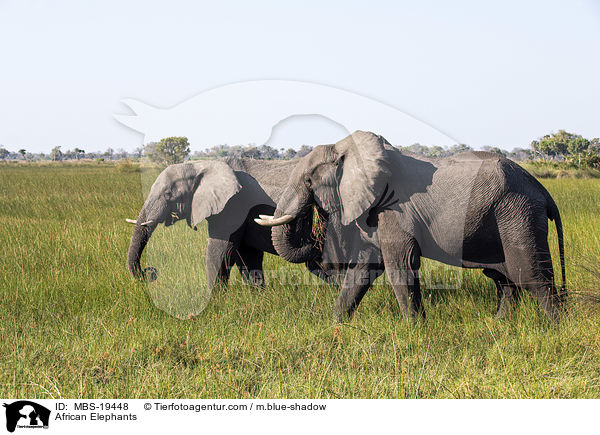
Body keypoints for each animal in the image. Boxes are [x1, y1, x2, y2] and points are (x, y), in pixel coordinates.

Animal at [126, 158, 338, 292]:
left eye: (168, 194)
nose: (150, 272)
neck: (200, 165)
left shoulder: (232, 206)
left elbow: (220, 250)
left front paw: (216, 300)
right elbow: (247, 255)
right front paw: (258, 297)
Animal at [255, 131, 564, 322]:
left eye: (309, 181)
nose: (313, 231)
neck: (347, 148)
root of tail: (543, 190)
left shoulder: (395, 210)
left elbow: (400, 265)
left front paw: (415, 330)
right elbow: (365, 268)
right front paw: (335, 324)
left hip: (517, 214)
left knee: (532, 275)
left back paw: (555, 327)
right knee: (505, 280)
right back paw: (499, 324)